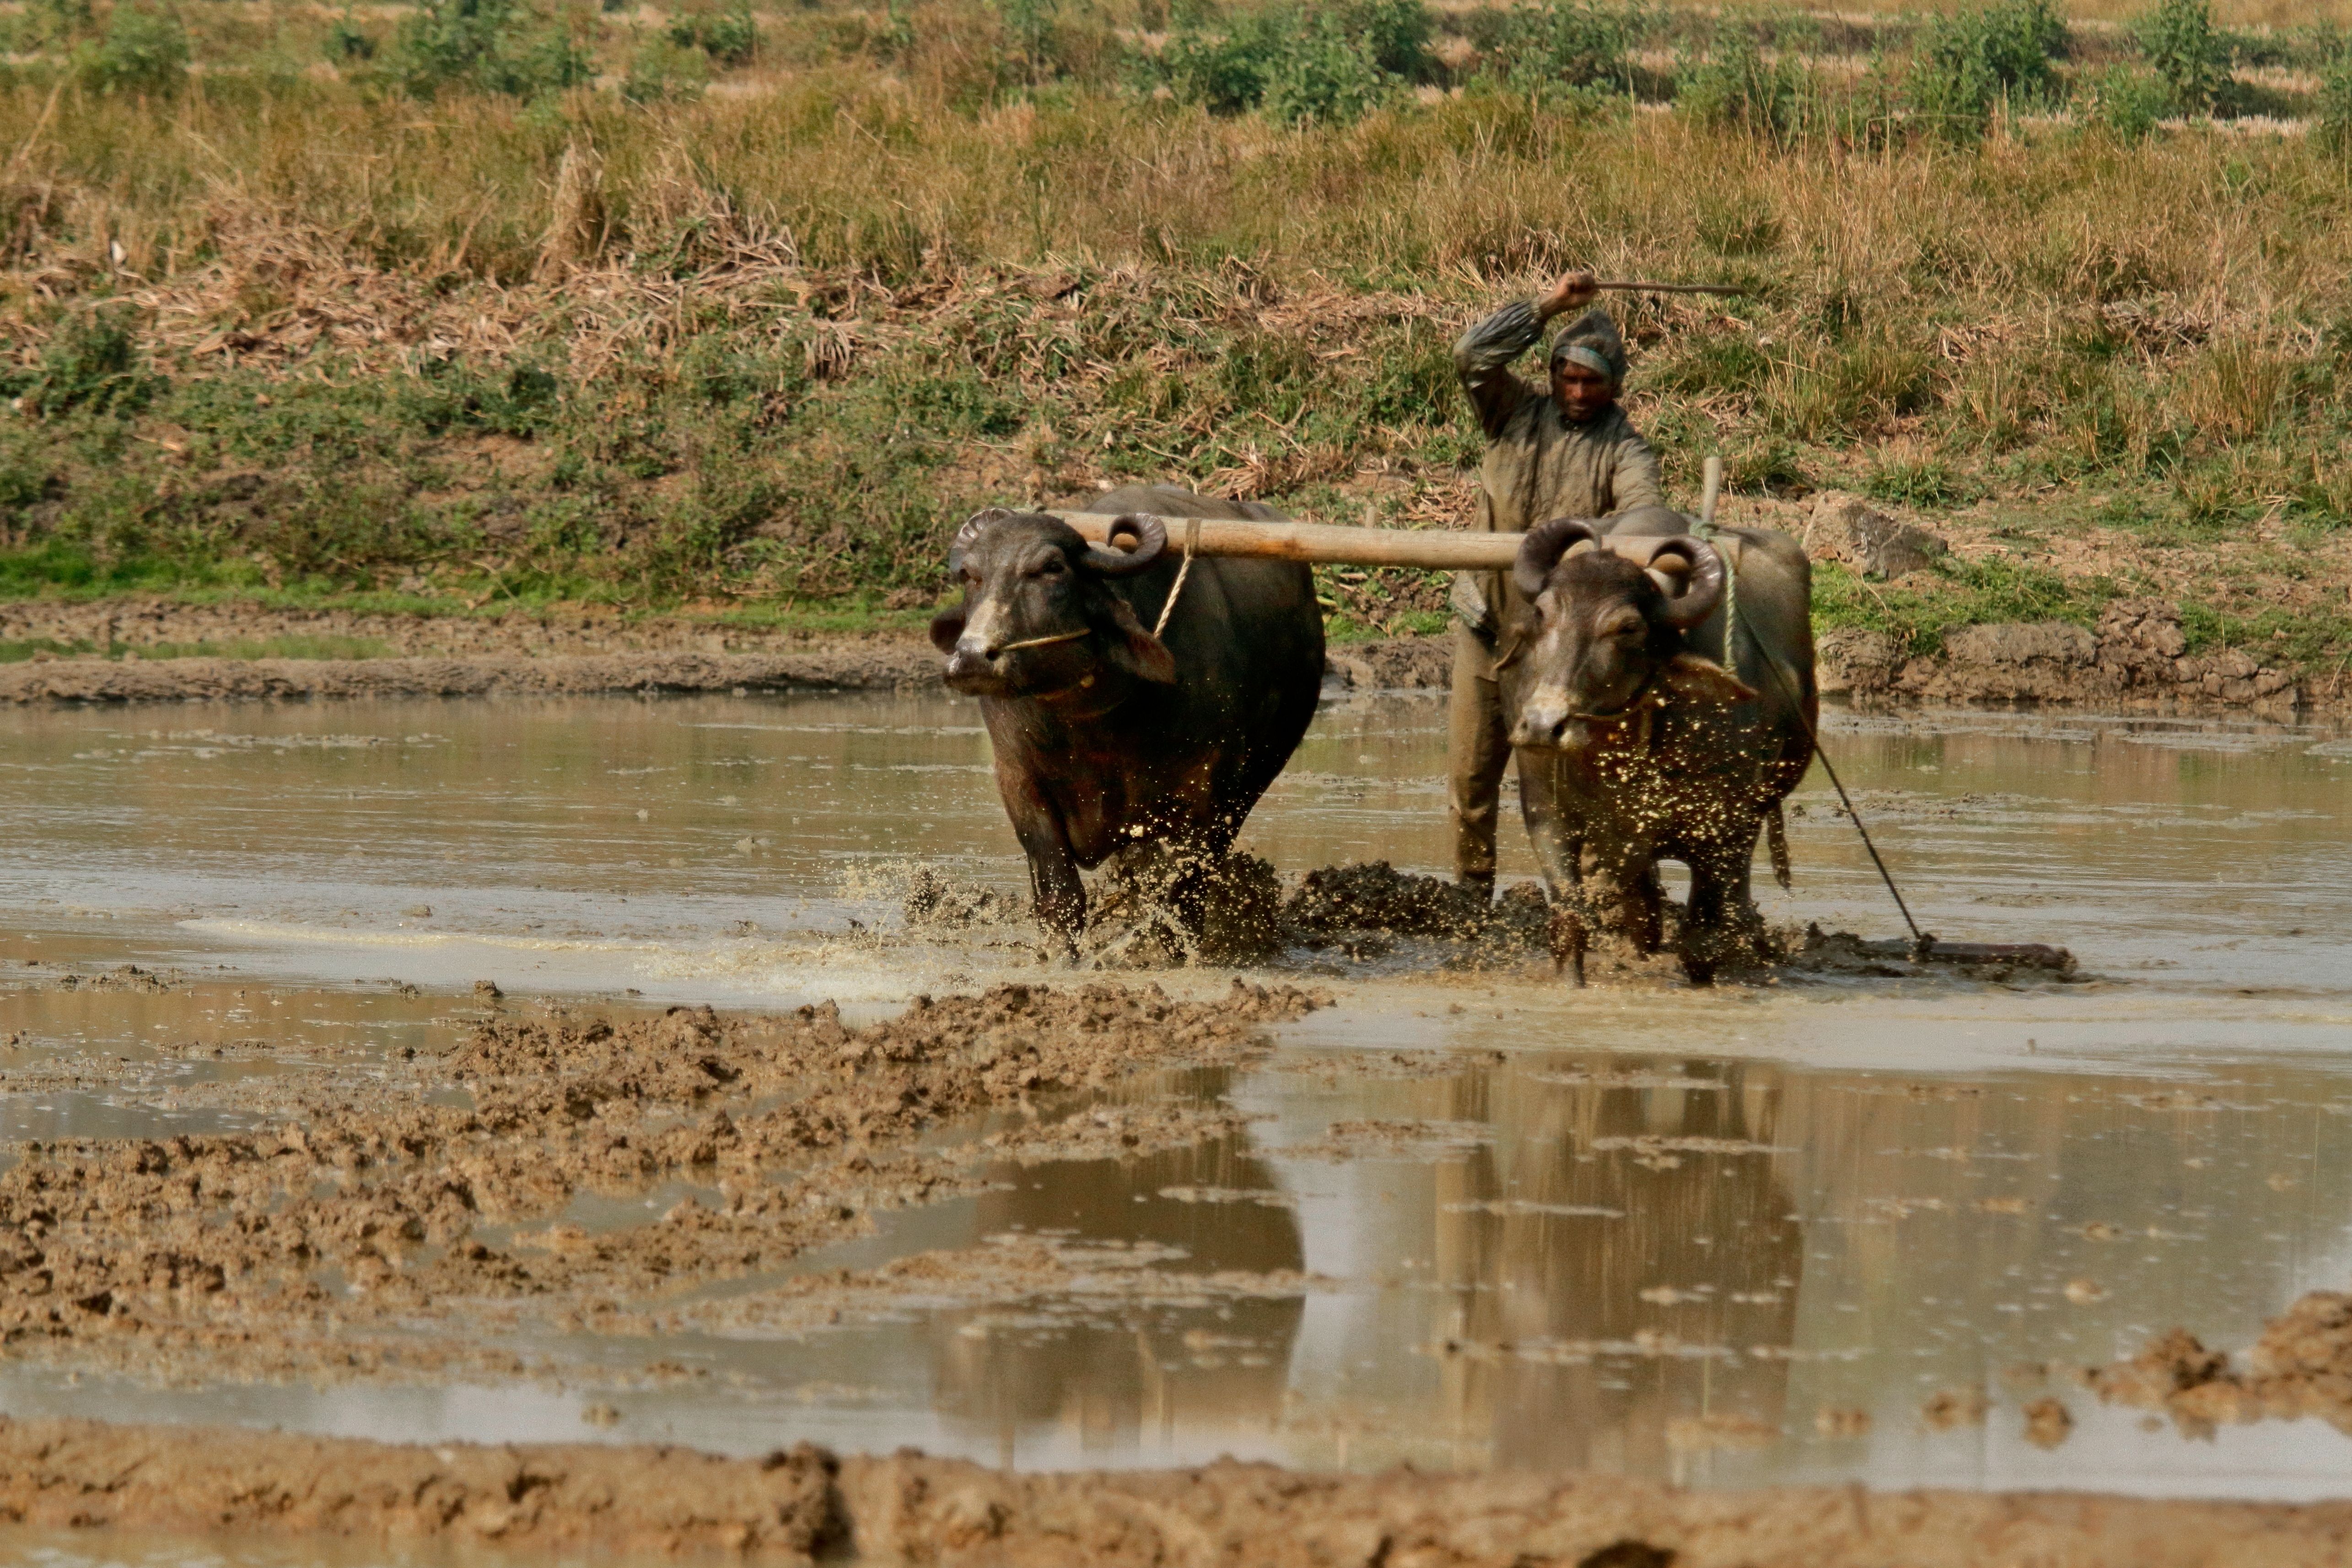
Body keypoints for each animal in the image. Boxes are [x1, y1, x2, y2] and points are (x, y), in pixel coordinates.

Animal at [931, 485, 1325, 957]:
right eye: (970, 574)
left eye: (1051, 568)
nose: (973, 656)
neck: (1089, 723)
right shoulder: (1020, 782)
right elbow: (1060, 894)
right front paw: (1060, 953)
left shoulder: (1204, 799)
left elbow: (1182, 895)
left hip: (1250, 783)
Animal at [1497, 506, 1817, 984]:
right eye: (1540, 612)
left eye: (1627, 627)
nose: (1541, 725)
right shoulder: (1548, 817)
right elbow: (1570, 918)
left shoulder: (1721, 834)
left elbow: (1700, 936)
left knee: (1732, 899)